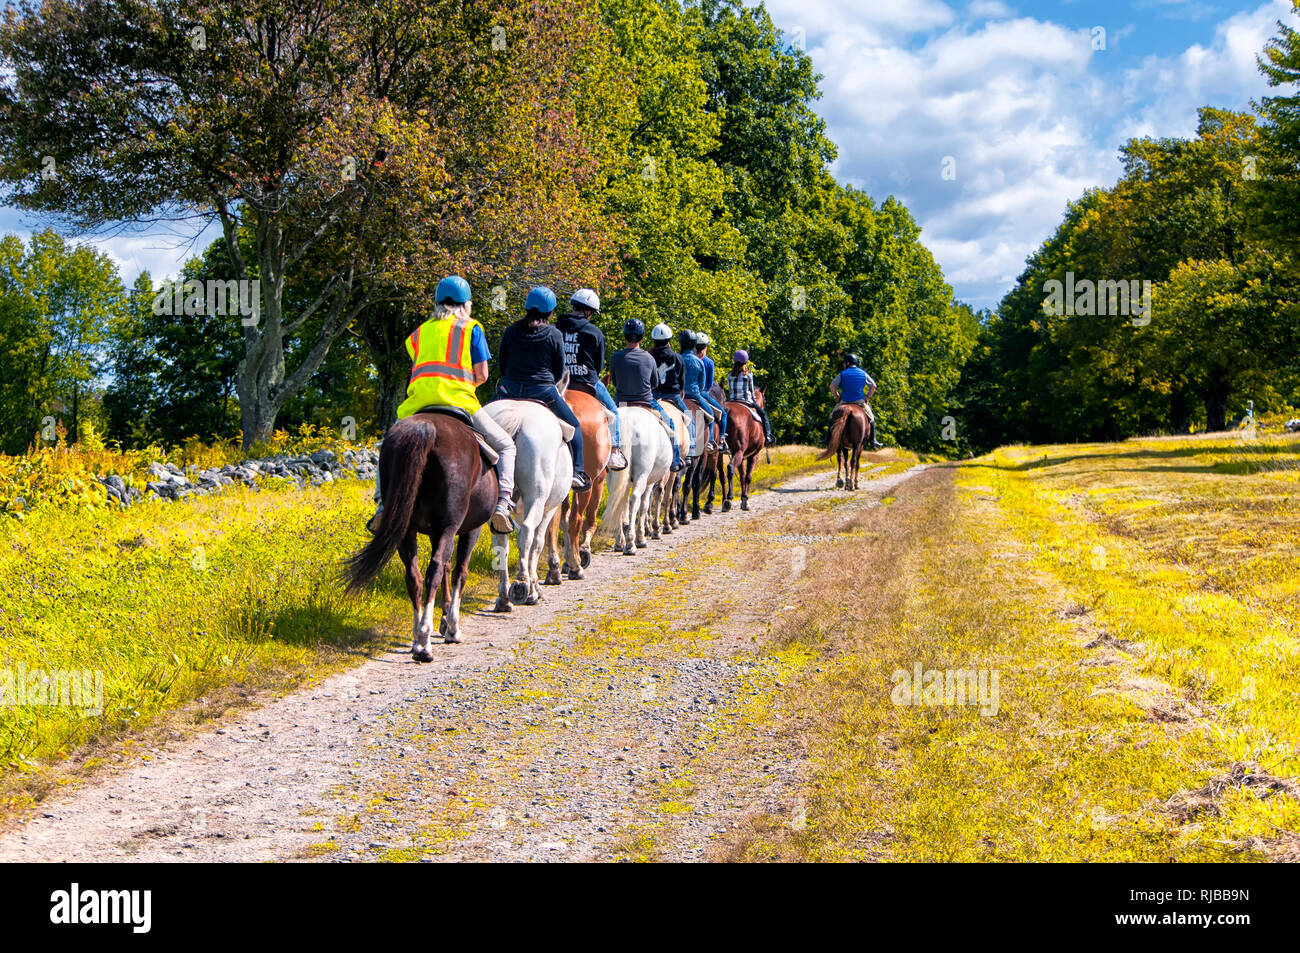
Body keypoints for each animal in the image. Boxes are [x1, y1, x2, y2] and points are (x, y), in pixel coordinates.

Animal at [345, 408, 496, 660]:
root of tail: (426, 429)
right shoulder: (469, 529)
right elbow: (459, 571)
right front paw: (452, 626)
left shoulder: (436, 532)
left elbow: (447, 568)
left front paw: (444, 618)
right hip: (447, 526)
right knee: (434, 570)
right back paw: (425, 641)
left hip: (406, 529)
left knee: (414, 575)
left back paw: (417, 637)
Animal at [483, 374, 574, 608]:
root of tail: (517, 416)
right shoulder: (549, 509)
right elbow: (538, 542)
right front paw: (535, 588)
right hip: (537, 497)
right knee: (526, 532)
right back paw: (523, 586)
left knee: (500, 540)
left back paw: (503, 598)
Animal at [543, 382, 613, 579]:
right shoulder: (597, 481)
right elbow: (588, 519)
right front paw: (583, 551)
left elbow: (563, 520)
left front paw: (566, 560)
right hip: (588, 484)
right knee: (577, 519)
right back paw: (576, 566)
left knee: (553, 523)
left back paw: (554, 569)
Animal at [598, 405, 670, 553]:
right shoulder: (649, 483)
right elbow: (644, 505)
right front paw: (641, 537)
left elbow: (623, 506)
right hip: (642, 475)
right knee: (636, 500)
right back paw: (631, 544)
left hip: (613, 476)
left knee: (616, 501)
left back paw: (620, 543)